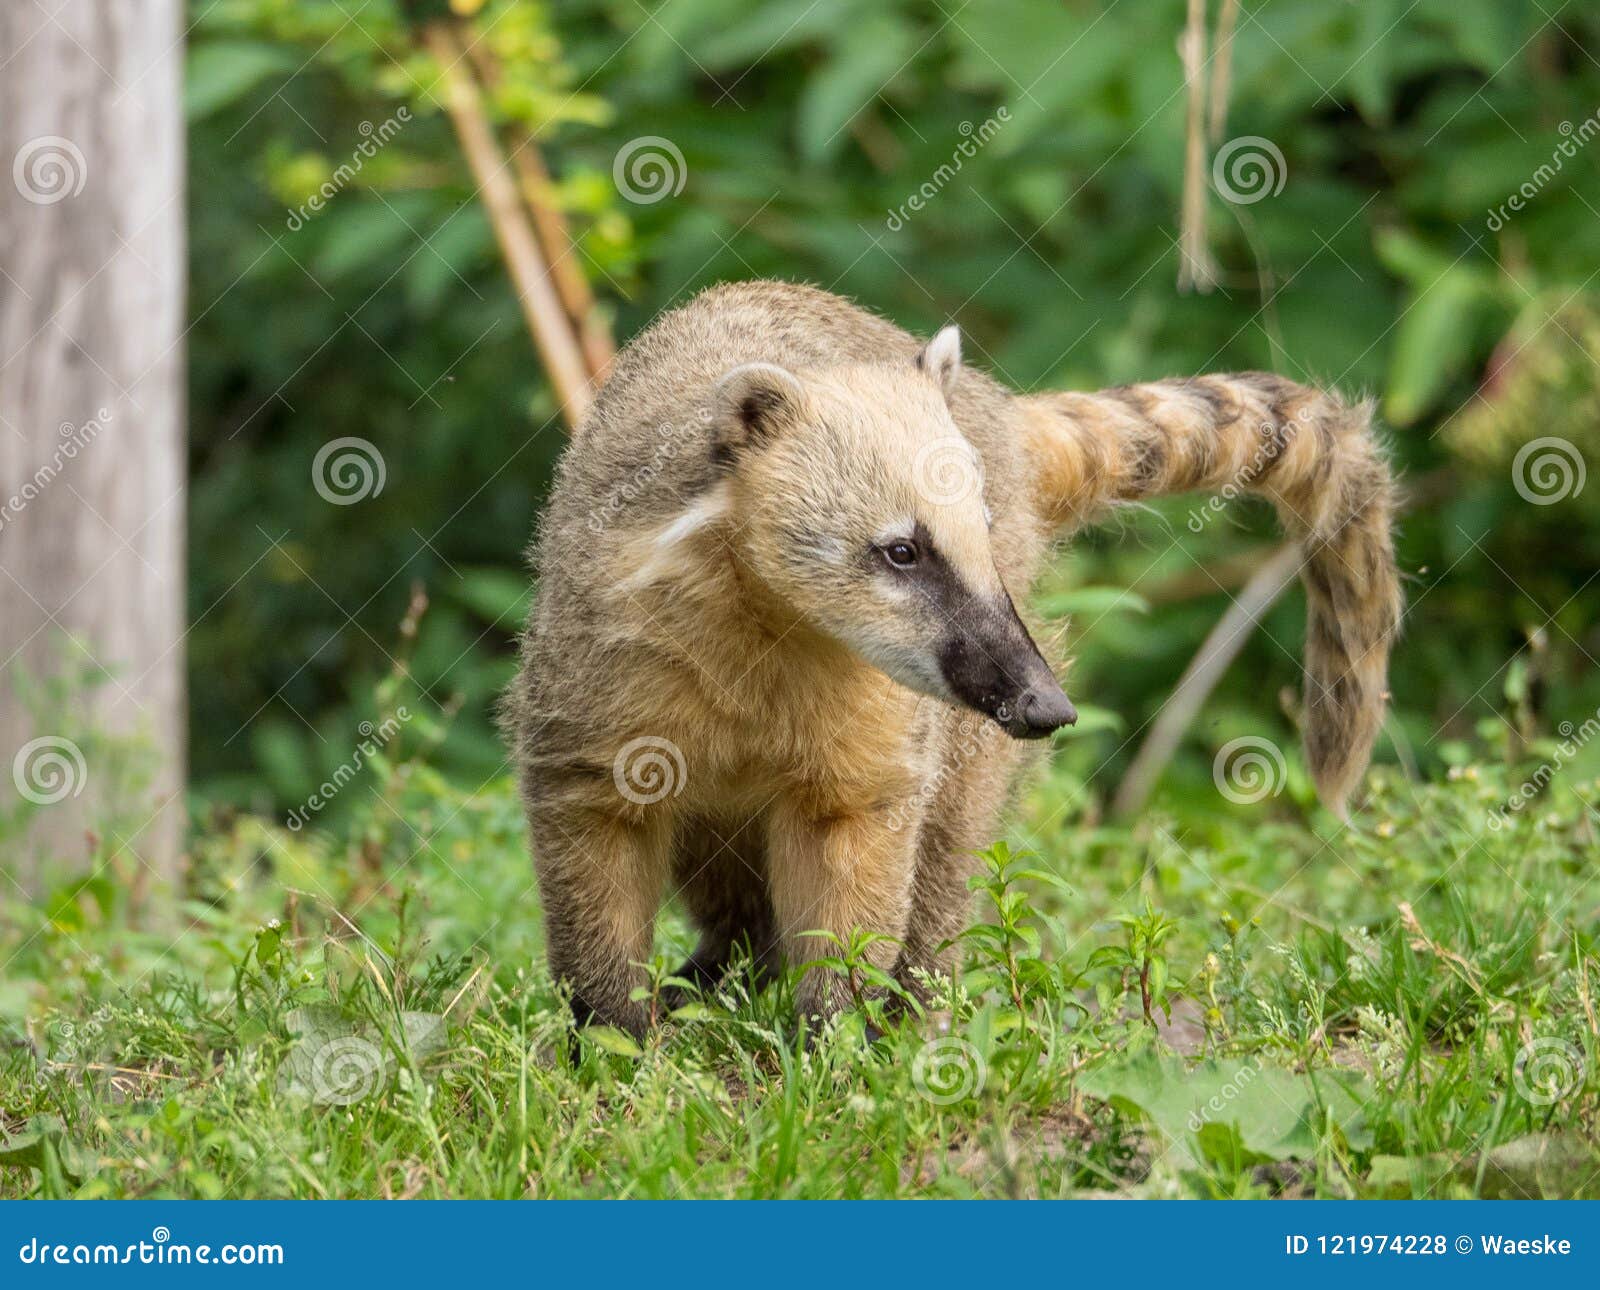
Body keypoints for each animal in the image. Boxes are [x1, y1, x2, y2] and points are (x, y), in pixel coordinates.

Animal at [502, 280, 1400, 1040]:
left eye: (984, 536)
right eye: (902, 551)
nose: (1046, 708)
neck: (773, 618)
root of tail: (998, 412)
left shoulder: (881, 717)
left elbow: (856, 840)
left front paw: (833, 1035)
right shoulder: (602, 662)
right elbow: (597, 827)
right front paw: (611, 1030)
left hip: (969, 734)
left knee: (949, 836)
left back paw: (914, 997)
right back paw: (724, 966)